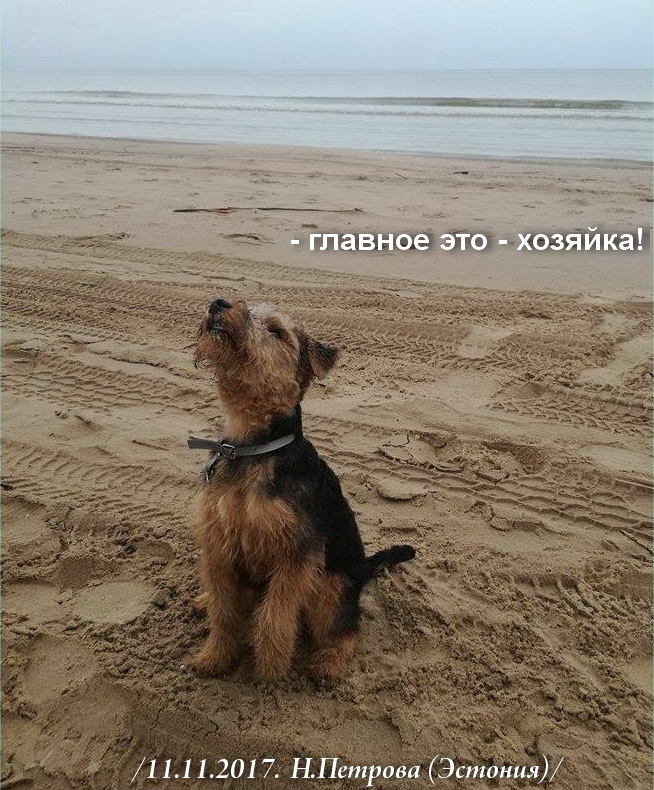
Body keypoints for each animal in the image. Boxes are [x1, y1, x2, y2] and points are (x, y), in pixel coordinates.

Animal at [188, 298, 415, 682]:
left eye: (277, 331)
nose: (219, 302)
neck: (250, 448)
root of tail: (364, 567)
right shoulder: (219, 541)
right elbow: (224, 613)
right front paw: (213, 658)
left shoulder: (294, 554)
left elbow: (275, 618)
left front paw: (269, 670)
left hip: (330, 588)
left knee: (347, 630)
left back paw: (328, 665)